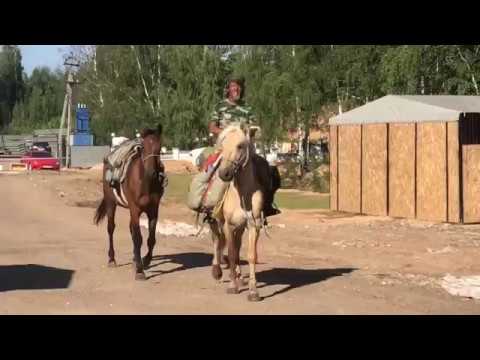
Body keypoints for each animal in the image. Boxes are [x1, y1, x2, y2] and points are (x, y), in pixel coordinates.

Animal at [94, 125, 165, 280]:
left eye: (159, 147)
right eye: (143, 147)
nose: (152, 173)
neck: (145, 182)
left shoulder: (153, 210)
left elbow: (151, 238)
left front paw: (145, 260)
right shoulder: (135, 209)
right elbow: (138, 238)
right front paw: (139, 270)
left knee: (131, 230)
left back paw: (134, 259)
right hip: (111, 203)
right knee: (111, 229)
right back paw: (112, 259)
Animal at [210, 126, 264, 300]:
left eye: (240, 146)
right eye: (222, 146)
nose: (224, 173)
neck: (242, 195)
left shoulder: (253, 225)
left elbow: (251, 255)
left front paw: (253, 291)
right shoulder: (228, 225)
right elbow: (232, 254)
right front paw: (232, 286)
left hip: (239, 228)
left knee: (237, 246)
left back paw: (240, 277)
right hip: (216, 223)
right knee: (217, 241)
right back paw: (217, 271)